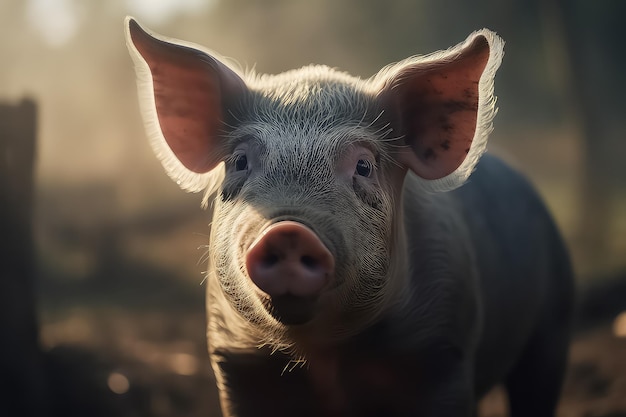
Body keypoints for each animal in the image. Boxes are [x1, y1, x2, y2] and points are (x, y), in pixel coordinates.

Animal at [125, 17, 572, 416]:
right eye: (239, 161)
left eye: (363, 166)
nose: (289, 230)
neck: (325, 355)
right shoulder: (234, 360)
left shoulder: (444, 352)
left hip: (553, 326)